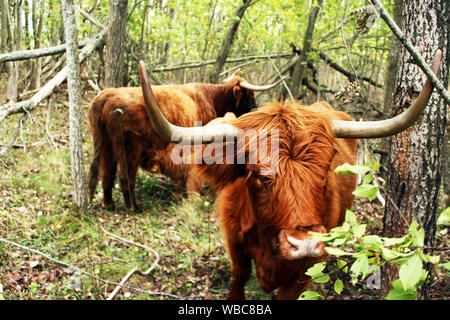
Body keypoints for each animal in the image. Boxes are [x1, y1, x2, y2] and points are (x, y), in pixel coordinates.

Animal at [86, 75, 284, 210]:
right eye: (249, 95)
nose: (256, 109)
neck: (211, 98)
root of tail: (107, 95)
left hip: (105, 145)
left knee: (107, 174)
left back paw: (108, 204)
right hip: (129, 149)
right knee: (125, 177)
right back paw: (133, 207)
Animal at [139, 49, 442, 298]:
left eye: (325, 171)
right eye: (259, 175)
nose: (305, 245)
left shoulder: (305, 271)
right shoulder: (234, 243)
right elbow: (239, 278)